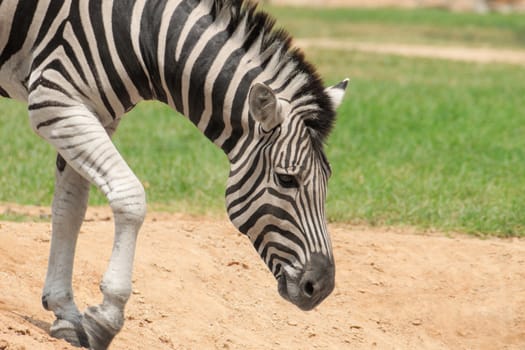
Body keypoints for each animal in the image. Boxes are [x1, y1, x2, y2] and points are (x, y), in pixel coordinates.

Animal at [2, 0, 350, 348]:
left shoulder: (94, 114)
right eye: (286, 179)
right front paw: (106, 316)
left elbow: (69, 210)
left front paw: (65, 312)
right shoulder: (54, 100)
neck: (142, 33)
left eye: (328, 179)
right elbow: (130, 196)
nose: (321, 287)